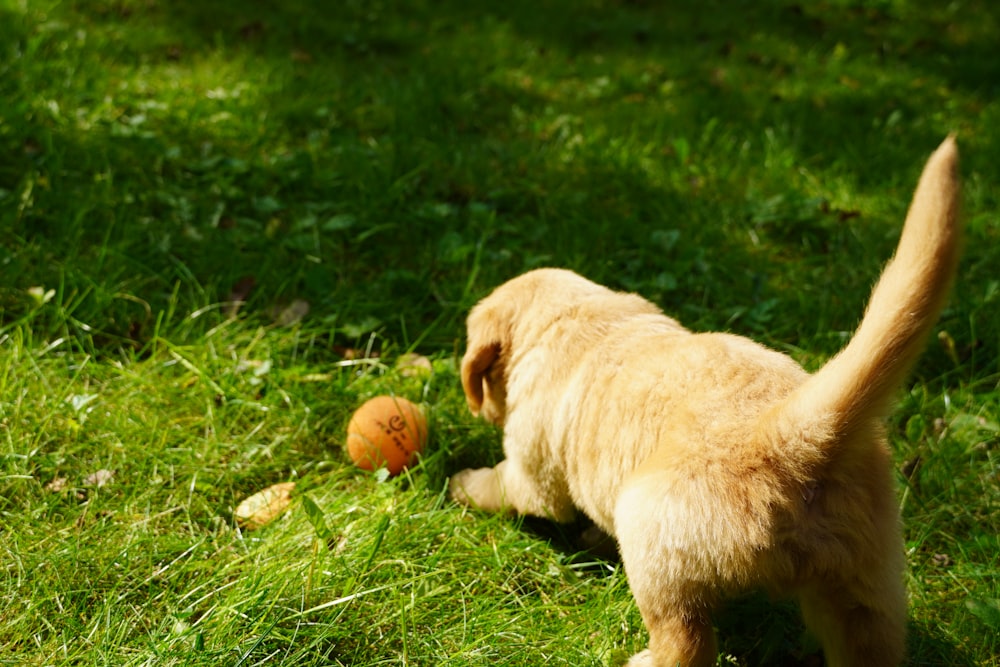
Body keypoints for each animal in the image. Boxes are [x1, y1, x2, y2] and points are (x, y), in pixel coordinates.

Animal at [452, 137, 960, 667]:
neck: (571, 317)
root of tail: (790, 436)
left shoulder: (533, 474)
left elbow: (504, 486)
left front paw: (463, 484)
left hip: (653, 540)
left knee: (687, 642)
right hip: (863, 578)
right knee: (868, 639)